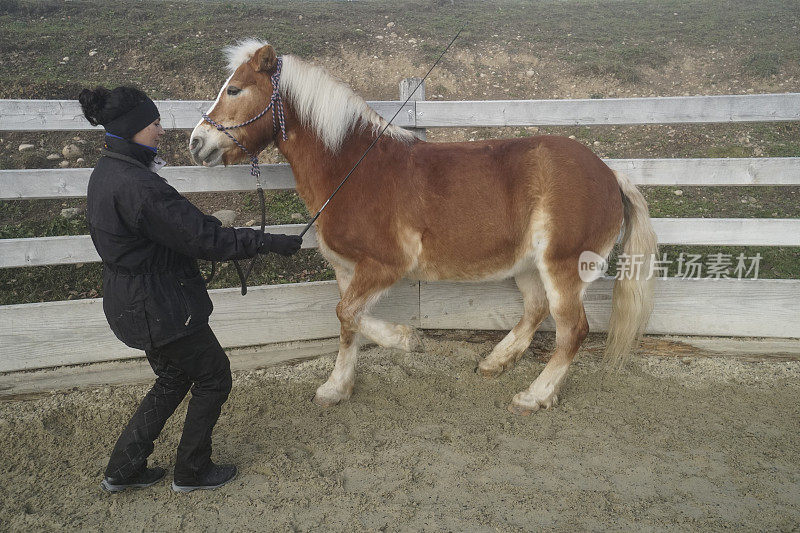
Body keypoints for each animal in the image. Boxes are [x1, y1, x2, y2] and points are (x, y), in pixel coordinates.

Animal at [191, 40, 660, 416]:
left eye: (234, 89)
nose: (197, 143)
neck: (353, 170)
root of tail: (609, 174)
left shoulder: (384, 266)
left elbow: (348, 314)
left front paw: (406, 339)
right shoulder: (346, 269)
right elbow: (347, 323)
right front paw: (336, 388)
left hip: (562, 267)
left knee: (572, 331)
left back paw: (535, 395)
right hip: (528, 266)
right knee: (535, 310)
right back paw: (496, 362)